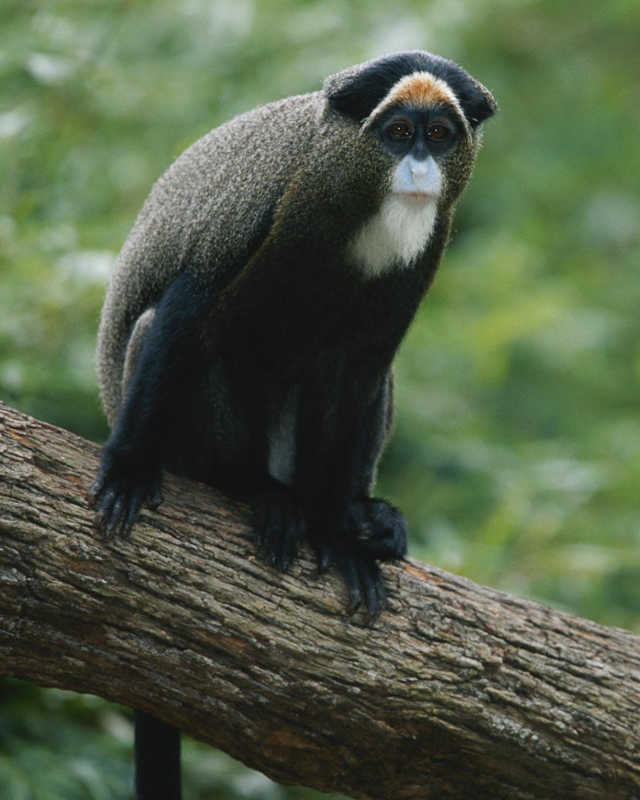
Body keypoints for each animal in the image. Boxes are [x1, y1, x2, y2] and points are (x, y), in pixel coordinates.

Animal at [89, 50, 496, 798]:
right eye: (397, 132)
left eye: (440, 134)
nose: (420, 168)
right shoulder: (268, 203)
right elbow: (189, 311)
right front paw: (127, 467)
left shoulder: (429, 248)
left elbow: (360, 370)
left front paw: (340, 534)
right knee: (178, 335)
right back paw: (255, 489)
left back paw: (358, 518)